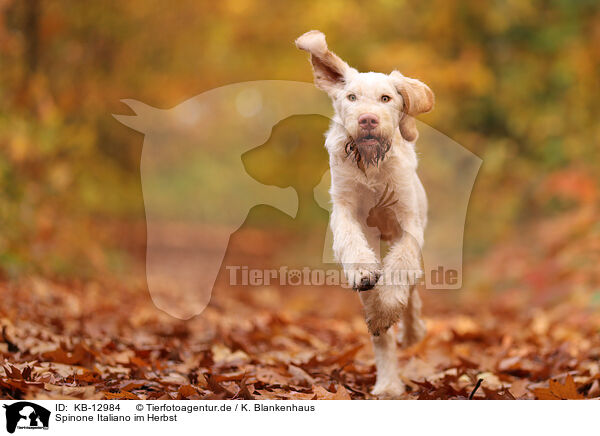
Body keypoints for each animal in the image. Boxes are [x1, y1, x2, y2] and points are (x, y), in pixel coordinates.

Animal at [296, 31, 434, 398]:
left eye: (386, 98)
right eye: (351, 97)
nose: (367, 120)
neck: (372, 168)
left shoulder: (408, 225)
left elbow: (401, 269)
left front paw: (390, 312)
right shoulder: (346, 212)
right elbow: (353, 246)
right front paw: (367, 281)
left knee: (411, 294)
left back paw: (409, 331)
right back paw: (387, 383)